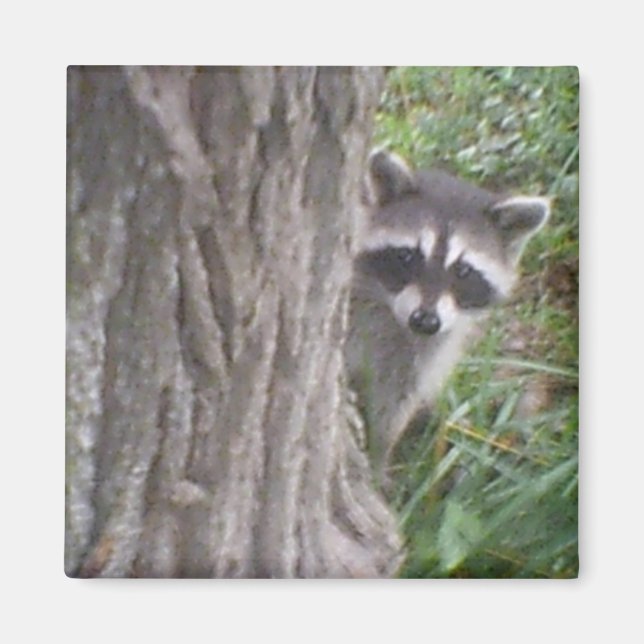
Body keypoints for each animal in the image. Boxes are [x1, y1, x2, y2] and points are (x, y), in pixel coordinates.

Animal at [347, 150, 550, 480]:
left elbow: (395, 401)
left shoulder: (424, 350)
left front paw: (379, 455)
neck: (391, 313)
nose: (426, 320)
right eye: (407, 256)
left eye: (463, 270)